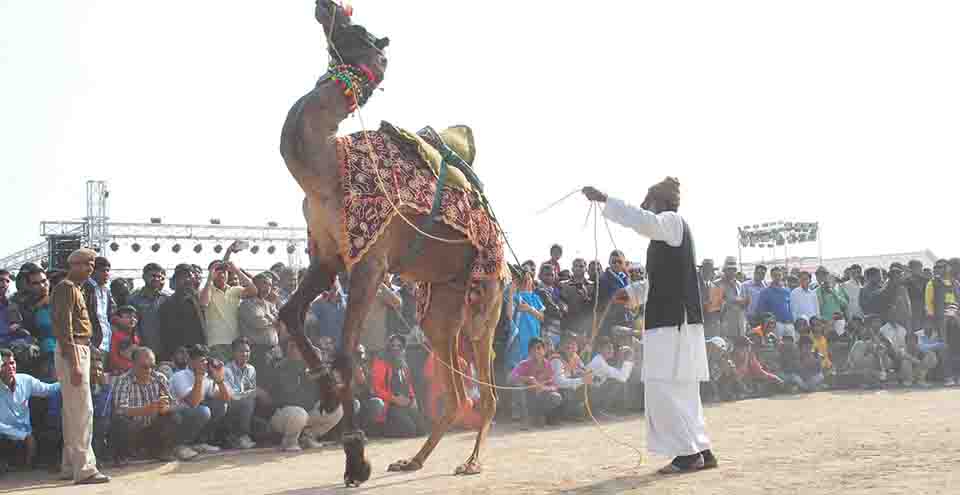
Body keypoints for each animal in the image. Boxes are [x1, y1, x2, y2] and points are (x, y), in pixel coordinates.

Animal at [276, 1, 506, 487]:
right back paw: (413, 460)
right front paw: (326, 394)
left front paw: (355, 459)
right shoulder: (328, 254)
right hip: (441, 303)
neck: (325, 164)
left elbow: (347, 355)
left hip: (486, 291)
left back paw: (471, 461)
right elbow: (289, 313)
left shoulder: (371, 259)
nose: (327, 6)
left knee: (486, 383)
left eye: (358, 28)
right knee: (455, 390)